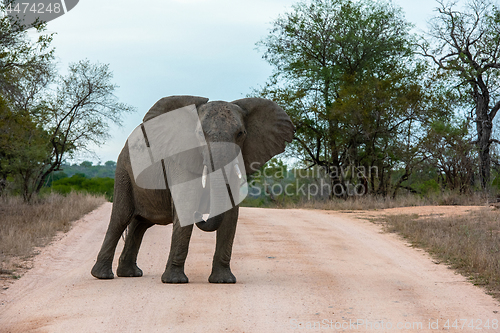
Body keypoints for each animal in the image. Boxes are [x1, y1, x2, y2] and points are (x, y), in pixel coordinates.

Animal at [91, 94, 294, 282]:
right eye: (199, 134)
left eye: (241, 133)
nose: (201, 215)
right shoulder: (180, 158)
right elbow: (186, 205)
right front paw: (174, 281)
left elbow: (230, 213)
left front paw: (223, 281)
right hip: (124, 169)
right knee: (121, 218)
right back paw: (103, 276)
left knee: (140, 223)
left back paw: (130, 274)